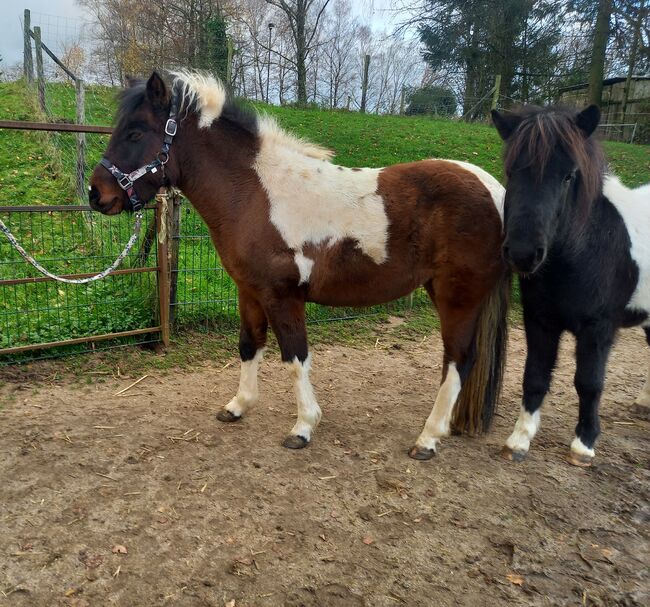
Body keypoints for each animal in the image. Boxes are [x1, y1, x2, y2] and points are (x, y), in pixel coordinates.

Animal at [88, 71, 508, 460]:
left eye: (135, 133)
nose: (96, 195)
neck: (256, 194)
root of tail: (494, 189)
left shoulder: (283, 296)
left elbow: (295, 356)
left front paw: (304, 427)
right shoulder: (249, 292)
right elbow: (249, 345)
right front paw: (238, 406)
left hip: (458, 297)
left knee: (458, 360)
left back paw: (429, 438)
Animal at [492, 105, 648, 466]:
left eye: (568, 175)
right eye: (511, 171)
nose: (522, 253)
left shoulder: (598, 329)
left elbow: (589, 383)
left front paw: (584, 443)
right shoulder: (540, 321)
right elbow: (535, 376)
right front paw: (519, 439)